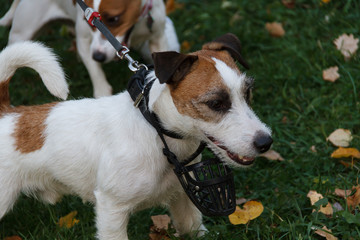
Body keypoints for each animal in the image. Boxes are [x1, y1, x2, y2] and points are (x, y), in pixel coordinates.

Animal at [0, 0, 180, 98]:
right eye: (89, 20)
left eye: (114, 19)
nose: (98, 56)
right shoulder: (85, 42)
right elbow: (95, 72)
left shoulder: (158, 38)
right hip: (21, 34)